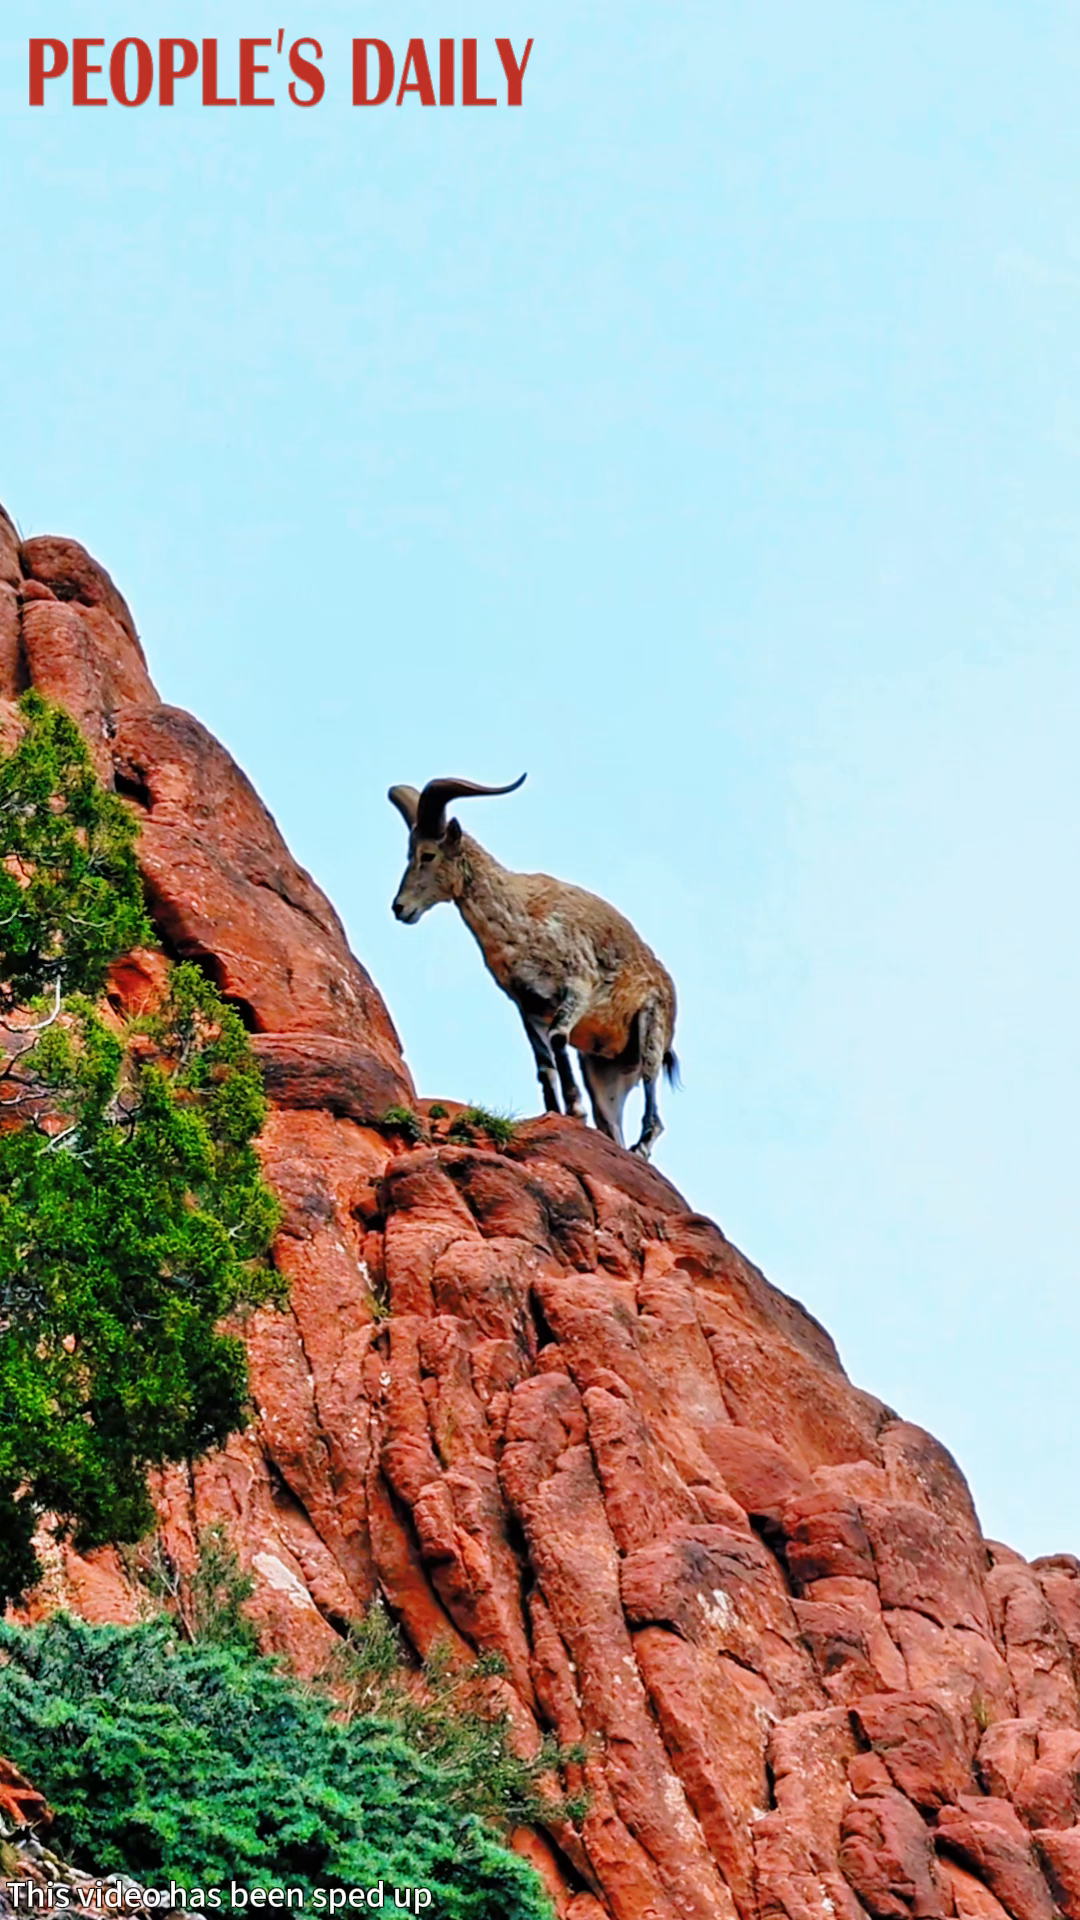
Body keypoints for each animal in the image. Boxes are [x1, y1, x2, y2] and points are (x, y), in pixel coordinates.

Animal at [388, 774, 678, 1159]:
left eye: (428, 854)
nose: (400, 908)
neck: (521, 920)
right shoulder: (528, 1006)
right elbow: (543, 1065)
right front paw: (555, 1112)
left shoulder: (577, 987)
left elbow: (558, 1038)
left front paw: (574, 1109)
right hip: (603, 1069)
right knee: (611, 1121)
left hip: (651, 1029)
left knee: (652, 1094)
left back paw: (640, 1147)